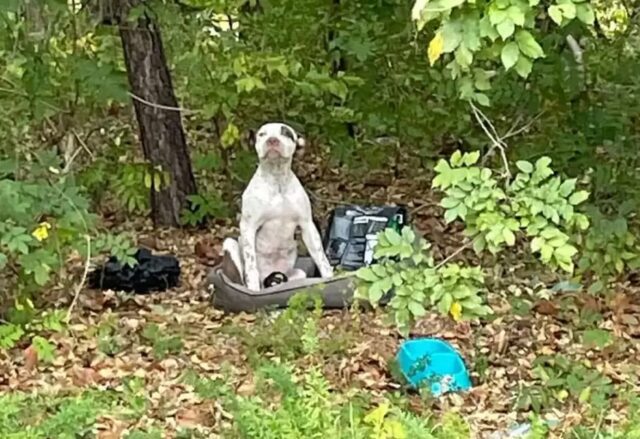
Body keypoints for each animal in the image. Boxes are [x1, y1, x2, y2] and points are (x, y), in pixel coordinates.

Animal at [221, 122, 336, 290]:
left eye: (286, 133)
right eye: (262, 134)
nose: (272, 140)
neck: (277, 181)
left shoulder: (307, 225)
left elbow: (322, 259)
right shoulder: (248, 226)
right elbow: (251, 265)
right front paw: (253, 289)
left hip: (297, 274)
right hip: (230, 244)